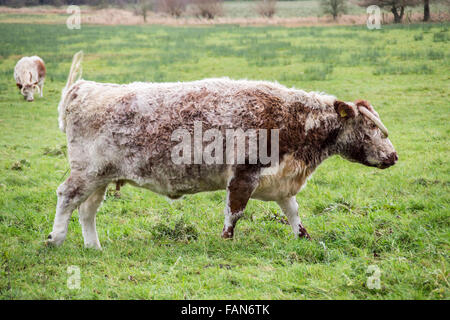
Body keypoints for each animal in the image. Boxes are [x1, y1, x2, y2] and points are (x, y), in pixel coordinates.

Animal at [45, 51, 398, 249]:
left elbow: (293, 211)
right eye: (371, 129)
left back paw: (94, 246)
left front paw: (305, 238)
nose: (393, 156)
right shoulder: (244, 173)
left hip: (101, 178)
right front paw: (226, 239)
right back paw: (56, 239)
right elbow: (235, 211)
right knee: (66, 197)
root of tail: (84, 87)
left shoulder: (280, 181)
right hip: (87, 172)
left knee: (87, 210)